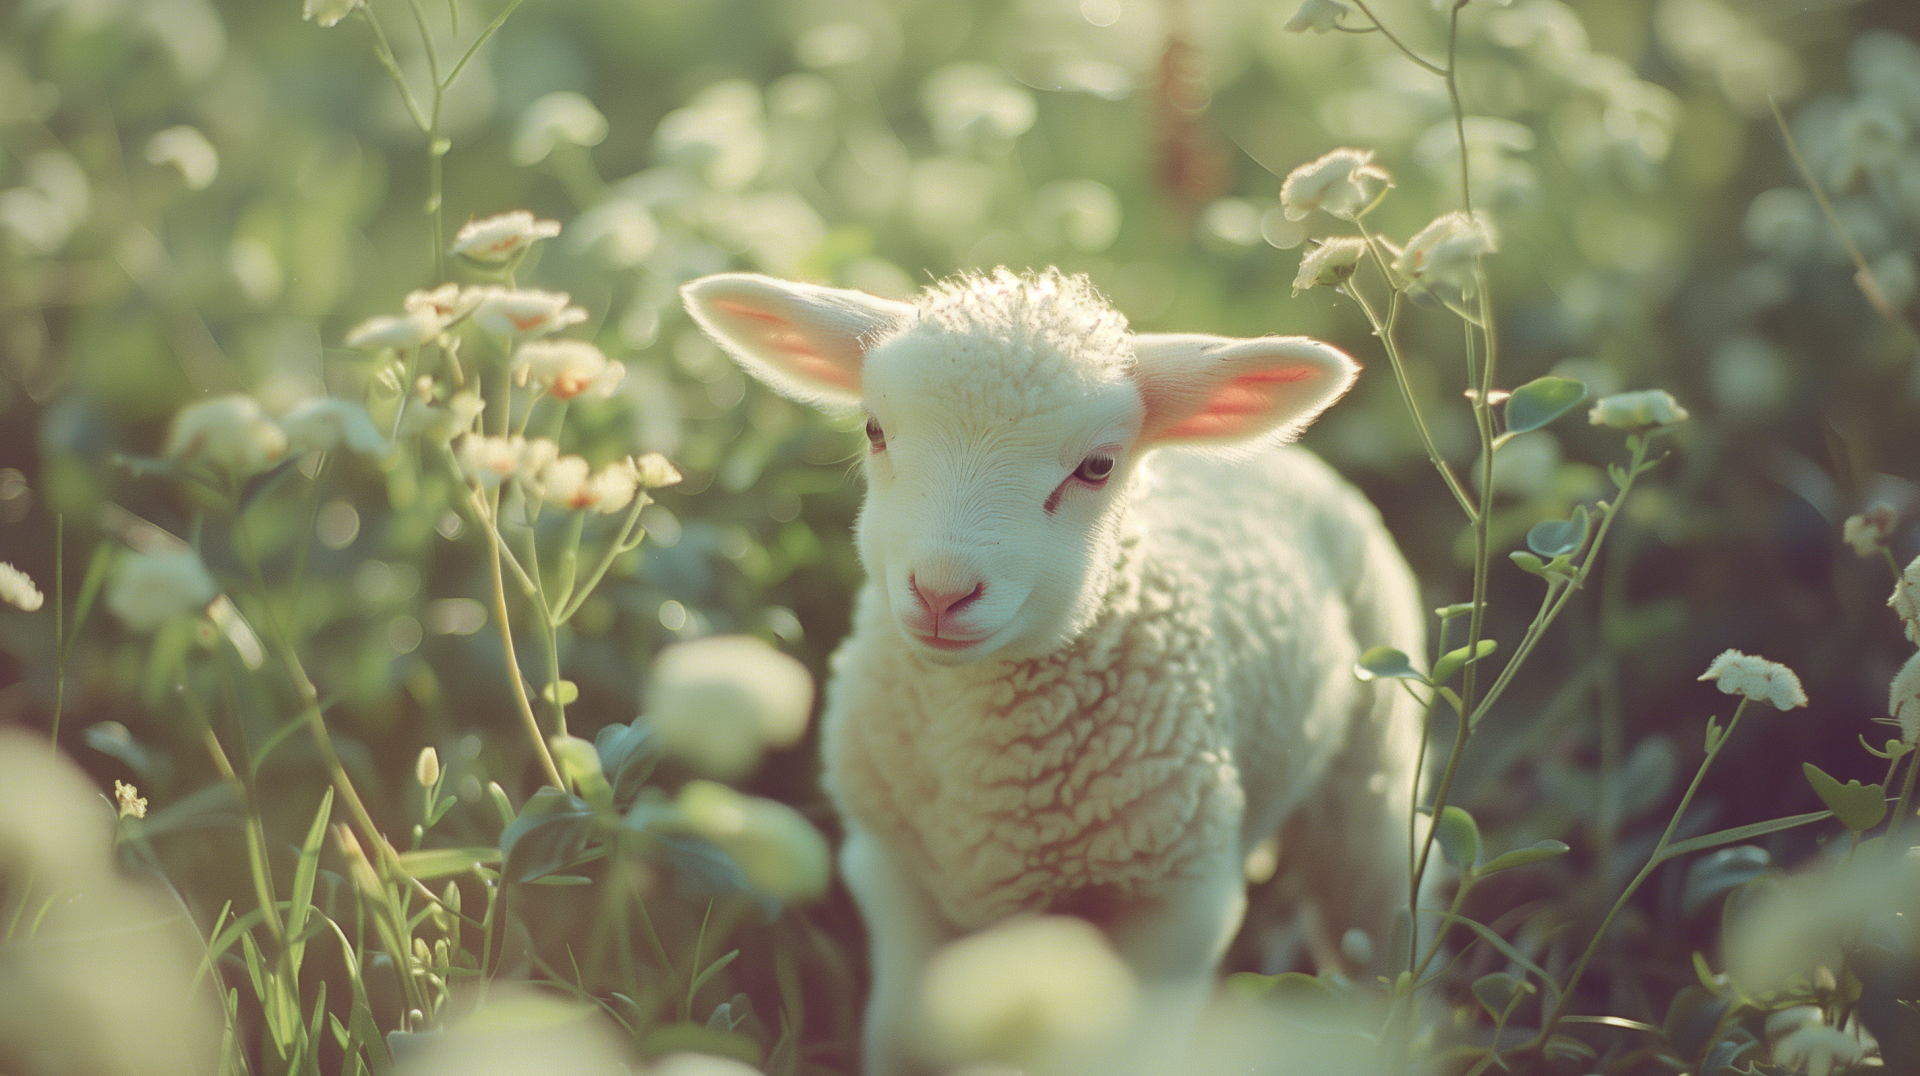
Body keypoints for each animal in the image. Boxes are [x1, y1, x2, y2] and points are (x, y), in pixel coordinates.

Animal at [681, 268, 1425, 1075]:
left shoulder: (1177, 904)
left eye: (1096, 466)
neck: (986, 784)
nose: (942, 592)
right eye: (875, 430)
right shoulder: (891, 870)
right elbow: (908, 1031)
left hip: (1372, 777)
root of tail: (1279, 458)